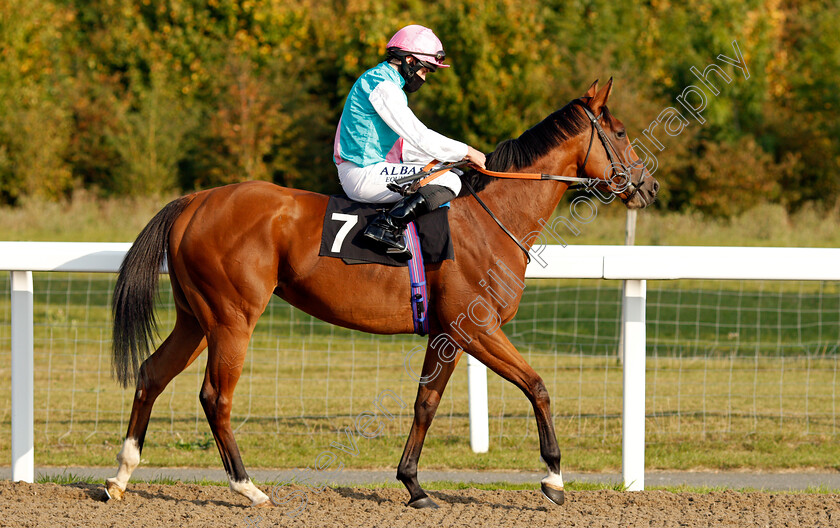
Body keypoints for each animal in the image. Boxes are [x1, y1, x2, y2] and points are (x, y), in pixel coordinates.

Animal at [105, 78, 656, 508]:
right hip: (232, 319)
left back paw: (120, 476)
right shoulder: (477, 328)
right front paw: (554, 478)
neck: (492, 217)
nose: (647, 186)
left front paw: (413, 485)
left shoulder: (447, 334)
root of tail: (195, 201)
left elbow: (426, 403)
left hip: (196, 318)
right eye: (621, 133)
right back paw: (248, 487)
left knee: (151, 373)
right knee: (215, 396)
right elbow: (537, 386)